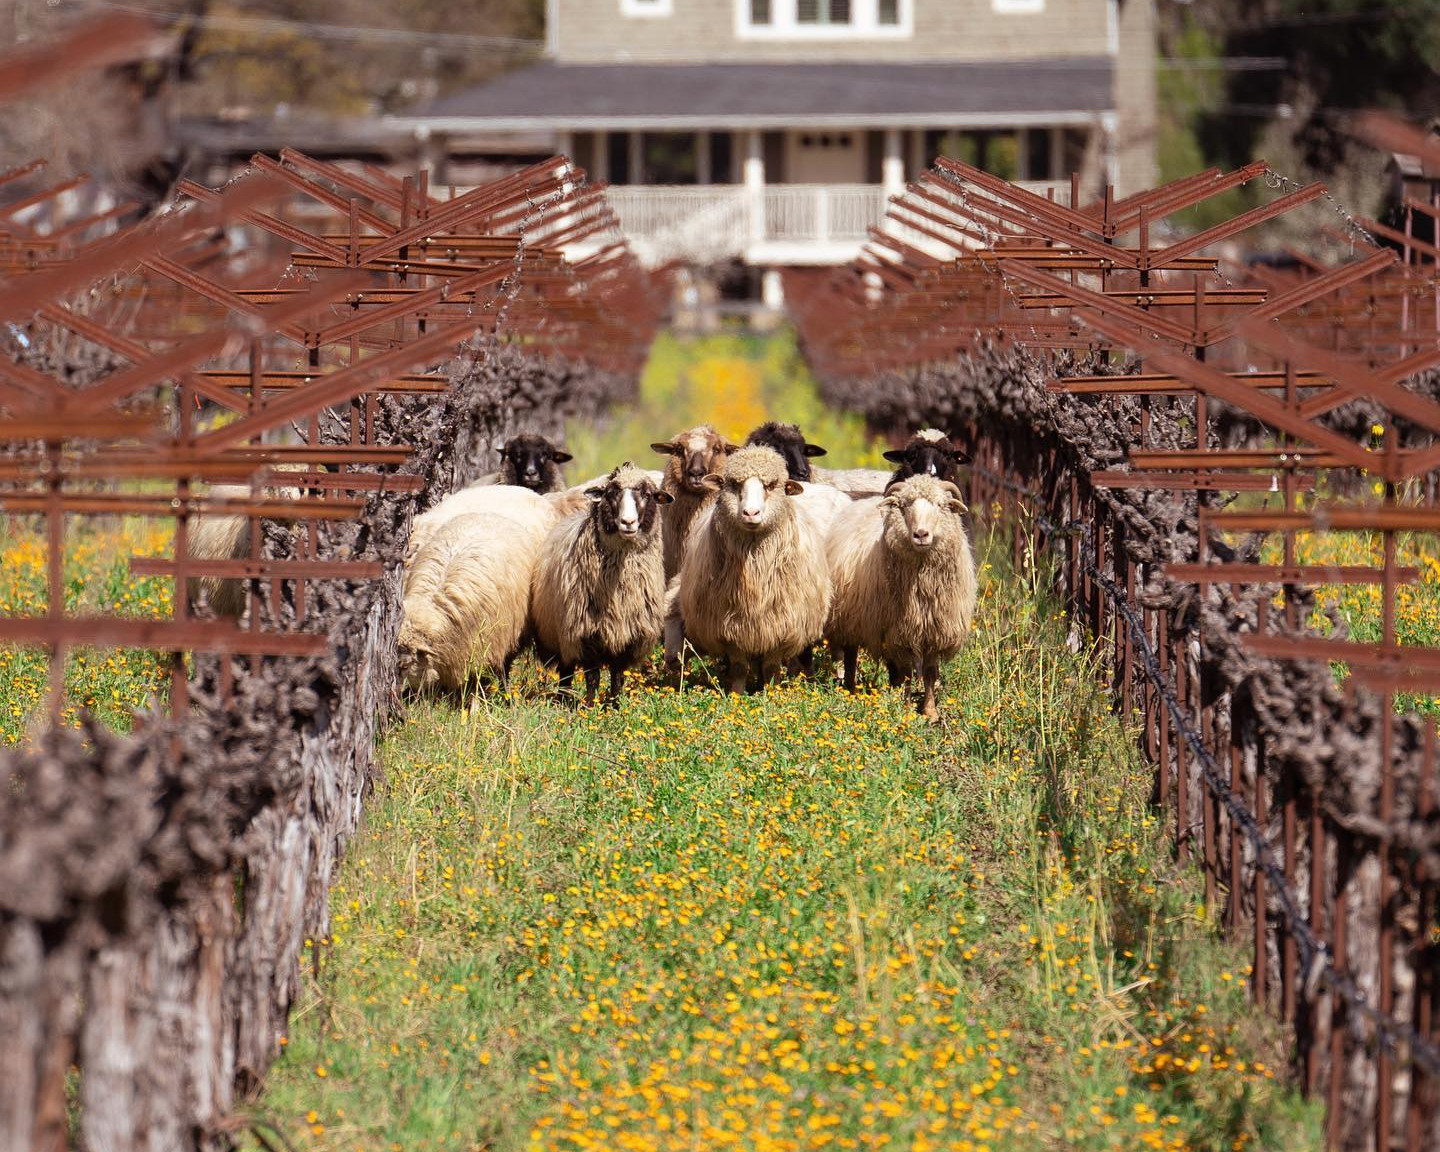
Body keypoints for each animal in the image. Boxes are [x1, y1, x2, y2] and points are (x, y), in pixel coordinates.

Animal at [530, 463, 672, 705]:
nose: (628, 522)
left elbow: (617, 676)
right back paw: (562, 699)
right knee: (566, 672)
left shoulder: (629, 636)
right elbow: (592, 677)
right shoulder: (584, 633)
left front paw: (615, 706)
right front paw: (589, 706)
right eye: (611, 493)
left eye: (647, 494)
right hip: (561, 633)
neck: (621, 590)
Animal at [679, 445, 831, 694]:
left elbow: (771, 667)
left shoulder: (779, 626)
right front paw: (737, 695)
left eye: (771, 485)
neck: (754, 568)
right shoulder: (731, 628)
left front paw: (770, 693)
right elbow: (739, 667)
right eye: (734, 484)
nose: (750, 513)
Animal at [824, 474, 977, 722]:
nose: (921, 534)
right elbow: (907, 672)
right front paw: (905, 709)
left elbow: (929, 673)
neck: (922, 584)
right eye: (904, 506)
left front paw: (930, 712)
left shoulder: (934, 630)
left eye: (940, 505)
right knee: (850, 655)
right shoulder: (900, 632)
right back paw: (850, 688)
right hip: (849, 617)